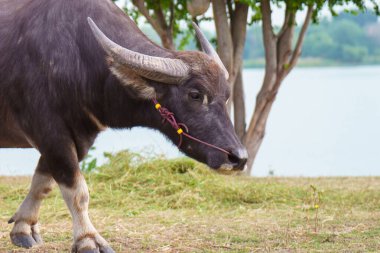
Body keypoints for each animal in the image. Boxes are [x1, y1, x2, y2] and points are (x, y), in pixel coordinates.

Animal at [0, 0, 246, 252]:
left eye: (226, 95)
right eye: (195, 95)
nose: (238, 157)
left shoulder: (79, 137)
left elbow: (43, 183)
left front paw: (23, 228)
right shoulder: (50, 133)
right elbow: (77, 191)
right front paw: (88, 239)